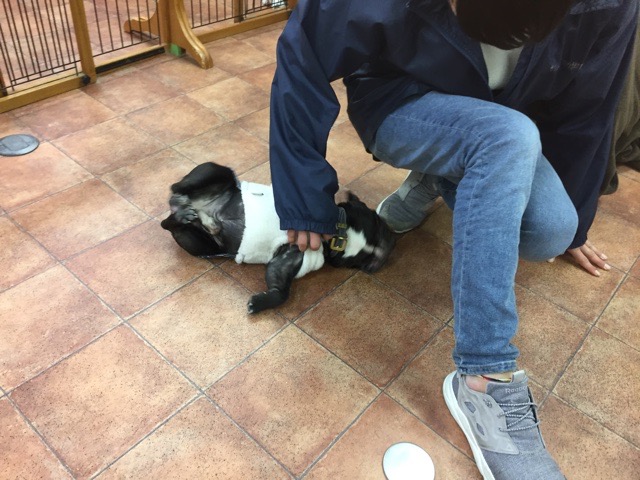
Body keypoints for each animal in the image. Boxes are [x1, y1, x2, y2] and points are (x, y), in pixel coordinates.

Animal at [161, 162, 395, 313]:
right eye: (376, 222)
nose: (387, 247)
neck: (340, 235)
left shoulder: (288, 257)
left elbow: (280, 287)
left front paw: (260, 303)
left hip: (201, 243)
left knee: (172, 221)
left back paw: (201, 218)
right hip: (213, 171)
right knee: (176, 191)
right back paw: (186, 205)